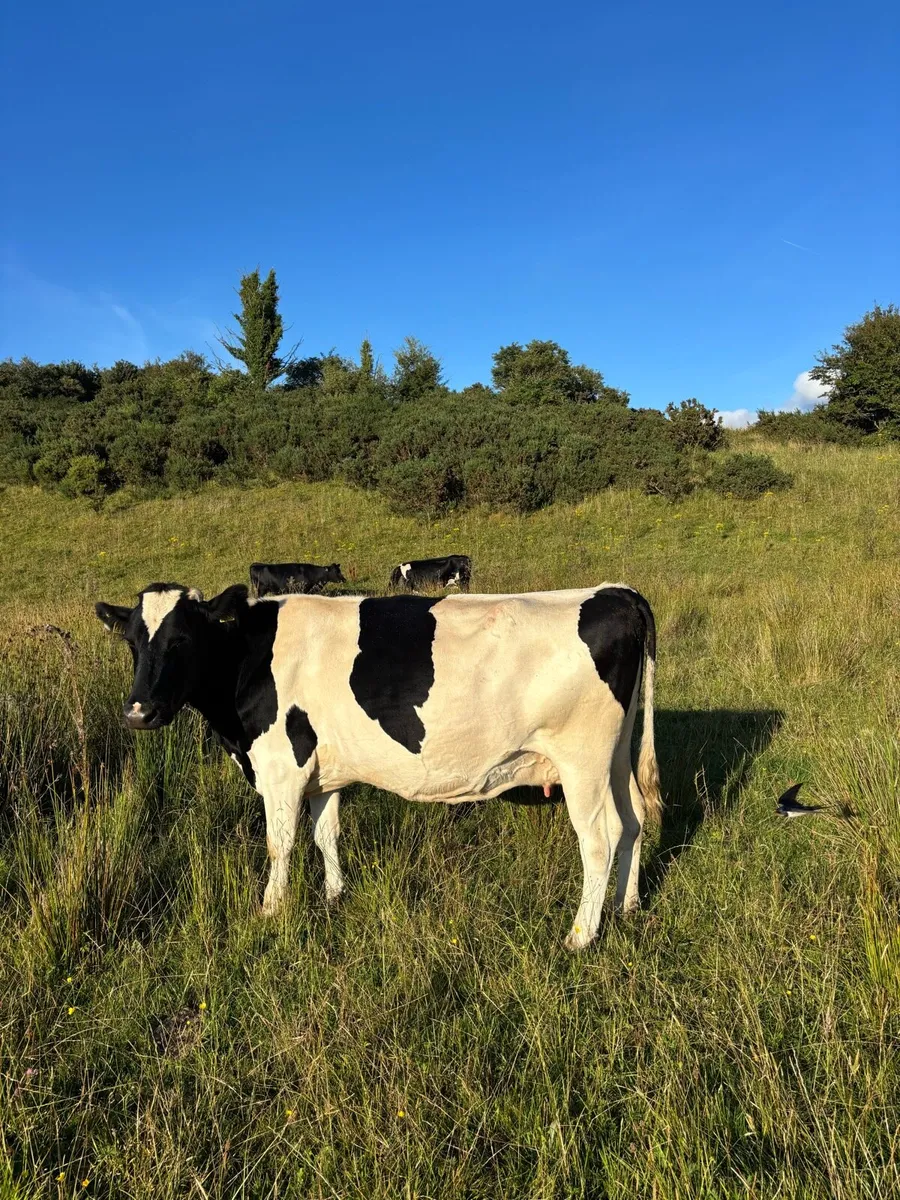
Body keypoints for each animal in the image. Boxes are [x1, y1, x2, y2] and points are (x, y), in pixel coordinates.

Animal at [95, 581, 661, 950]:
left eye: (182, 639)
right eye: (132, 641)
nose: (139, 712)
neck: (247, 658)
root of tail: (616, 592)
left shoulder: (282, 765)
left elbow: (281, 842)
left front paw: (271, 910)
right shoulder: (323, 770)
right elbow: (326, 832)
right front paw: (333, 896)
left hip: (582, 760)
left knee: (599, 840)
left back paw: (580, 935)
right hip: (615, 755)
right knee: (633, 820)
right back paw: (626, 906)